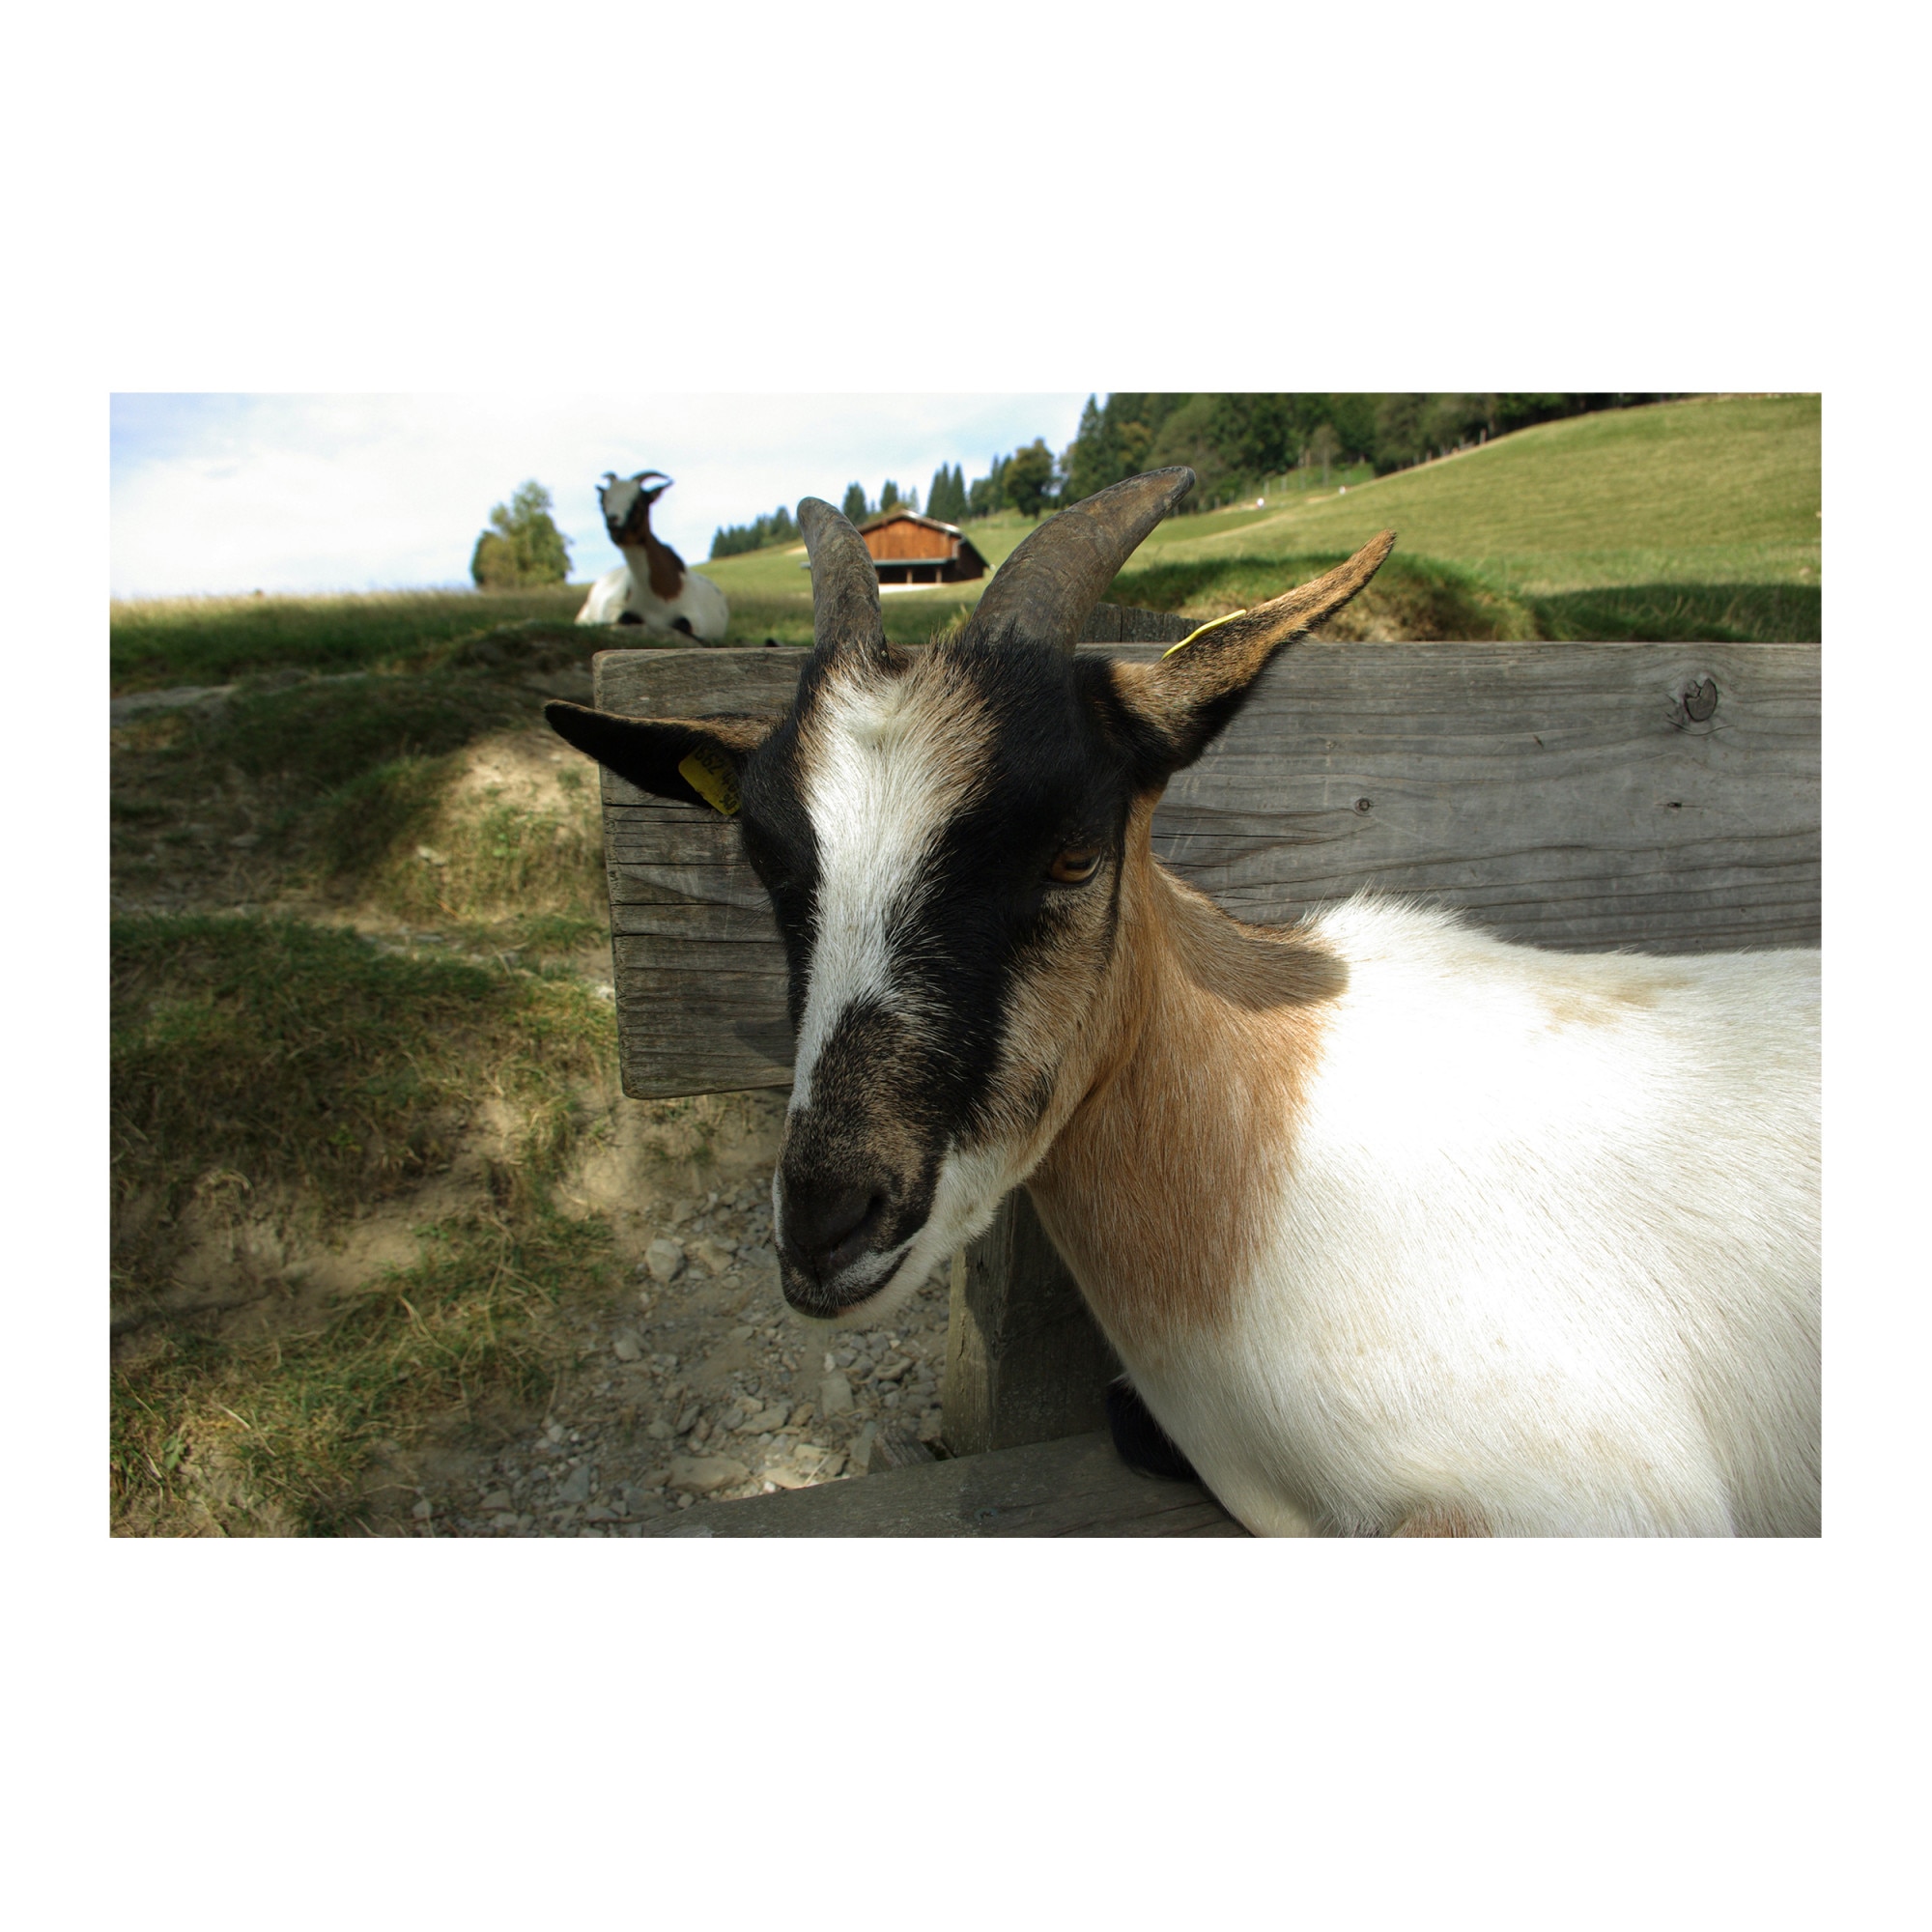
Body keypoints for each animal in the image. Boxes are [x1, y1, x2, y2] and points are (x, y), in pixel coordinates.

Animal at [575, 470, 730, 641]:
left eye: (638, 502)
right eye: (603, 503)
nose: (614, 526)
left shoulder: (696, 619)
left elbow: (683, 624)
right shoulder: (616, 607)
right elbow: (624, 618)